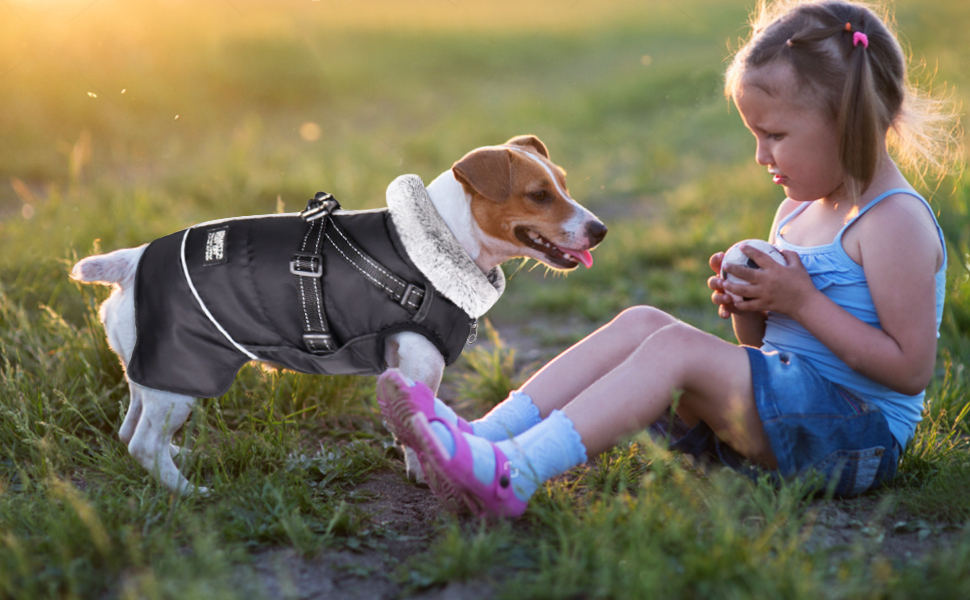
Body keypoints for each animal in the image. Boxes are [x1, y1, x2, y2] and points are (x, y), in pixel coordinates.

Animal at [70, 135, 604, 492]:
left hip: (149, 374)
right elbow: (422, 425)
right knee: (142, 443)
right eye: (538, 195)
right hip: (181, 373)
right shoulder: (422, 362)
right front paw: (428, 473)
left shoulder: (400, 365)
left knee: (131, 429)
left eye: (563, 185)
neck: (439, 242)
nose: (599, 230)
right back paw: (188, 493)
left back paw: (177, 456)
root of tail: (131, 262)